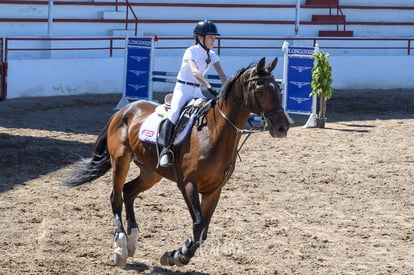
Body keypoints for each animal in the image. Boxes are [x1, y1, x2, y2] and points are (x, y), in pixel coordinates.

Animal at [65, 57, 292, 268]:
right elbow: (199, 224)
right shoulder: (188, 184)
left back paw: (132, 241)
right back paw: (121, 247)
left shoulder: (214, 190)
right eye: (260, 89)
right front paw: (178, 256)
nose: (283, 127)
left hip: (151, 173)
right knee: (116, 196)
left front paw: (175, 254)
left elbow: (203, 230)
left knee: (128, 191)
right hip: (120, 160)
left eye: (278, 88)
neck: (213, 133)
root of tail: (125, 110)